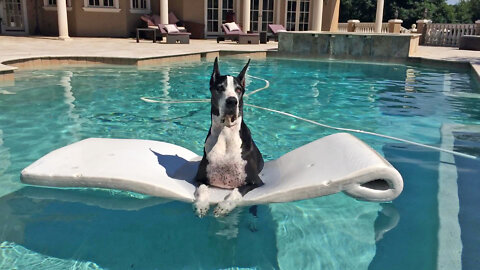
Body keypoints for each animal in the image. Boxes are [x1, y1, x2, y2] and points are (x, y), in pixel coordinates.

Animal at [193, 57, 264, 217]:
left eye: (238, 89)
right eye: (220, 88)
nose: (232, 101)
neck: (225, 133)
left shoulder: (257, 182)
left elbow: (237, 191)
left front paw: (225, 206)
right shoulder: (199, 178)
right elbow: (203, 189)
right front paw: (201, 204)